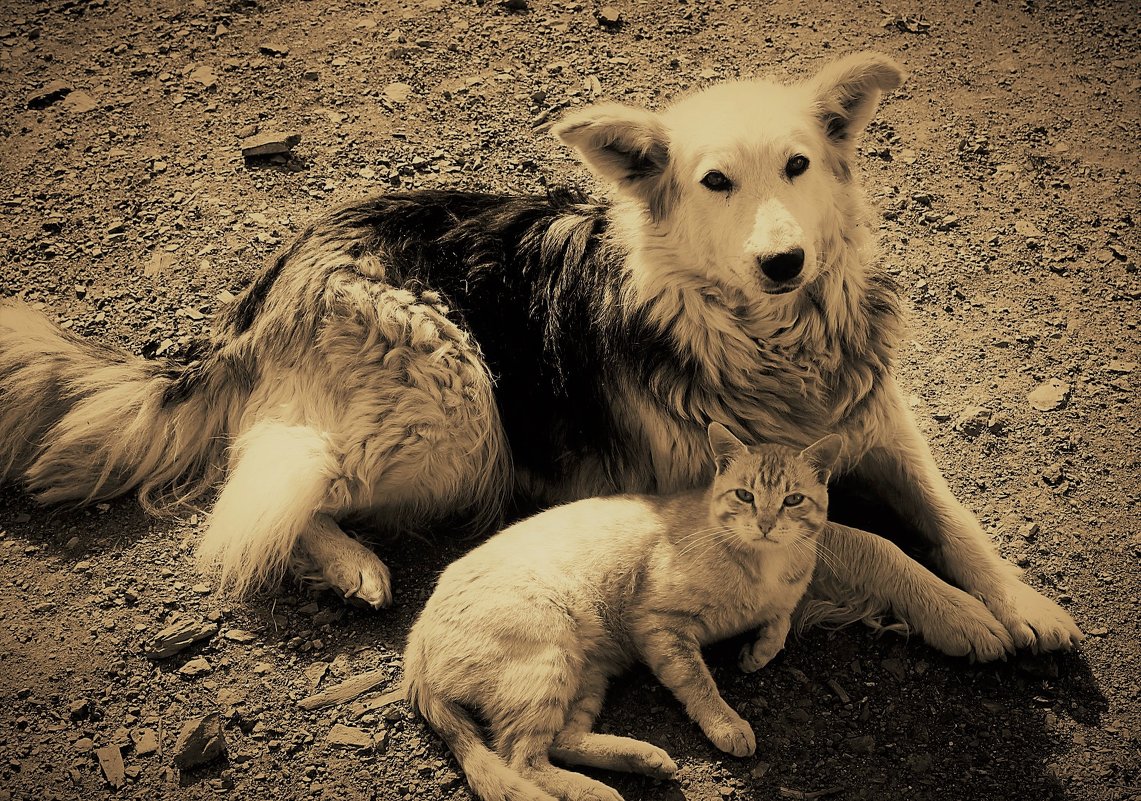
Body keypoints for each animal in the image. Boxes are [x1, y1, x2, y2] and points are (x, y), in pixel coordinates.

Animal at [0, 53, 1077, 661]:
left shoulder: (883, 431)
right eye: (714, 182)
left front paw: (1024, 602)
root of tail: (278, 268)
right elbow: (867, 542)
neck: (772, 344)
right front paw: (961, 619)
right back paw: (354, 566)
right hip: (456, 408)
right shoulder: (702, 504)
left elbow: (953, 521)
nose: (783, 262)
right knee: (262, 490)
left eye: (799, 166)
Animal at [406, 426, 844, 801]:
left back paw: (643, 759)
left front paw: (758, 653)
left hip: (584, 675)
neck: (764, 568)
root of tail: (416, 640)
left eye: (792, 500)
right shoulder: (658, 625)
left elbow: (782, 622)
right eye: (745, 496)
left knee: (561, 741)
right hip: (548, 659)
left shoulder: (781, 601)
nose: (766, 524)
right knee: (522, 760)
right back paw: (596, 790)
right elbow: (698, 683)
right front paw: (727, 723)